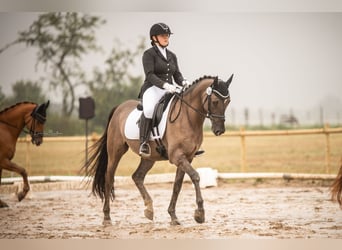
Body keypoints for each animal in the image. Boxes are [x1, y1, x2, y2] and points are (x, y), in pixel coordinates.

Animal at [84, 74, 234, 225]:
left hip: (149, 158)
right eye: (215, 101)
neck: (187, 118)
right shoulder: (177, 157)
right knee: (109, 178)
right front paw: (199, 213)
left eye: (228, 102)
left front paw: (173, 216)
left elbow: (177, 185)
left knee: (137, 176)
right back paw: (107, 217)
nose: (219, 130)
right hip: (115, 151)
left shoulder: (187, 157)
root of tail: (119, 107)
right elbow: (195, 176)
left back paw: (149, 209)